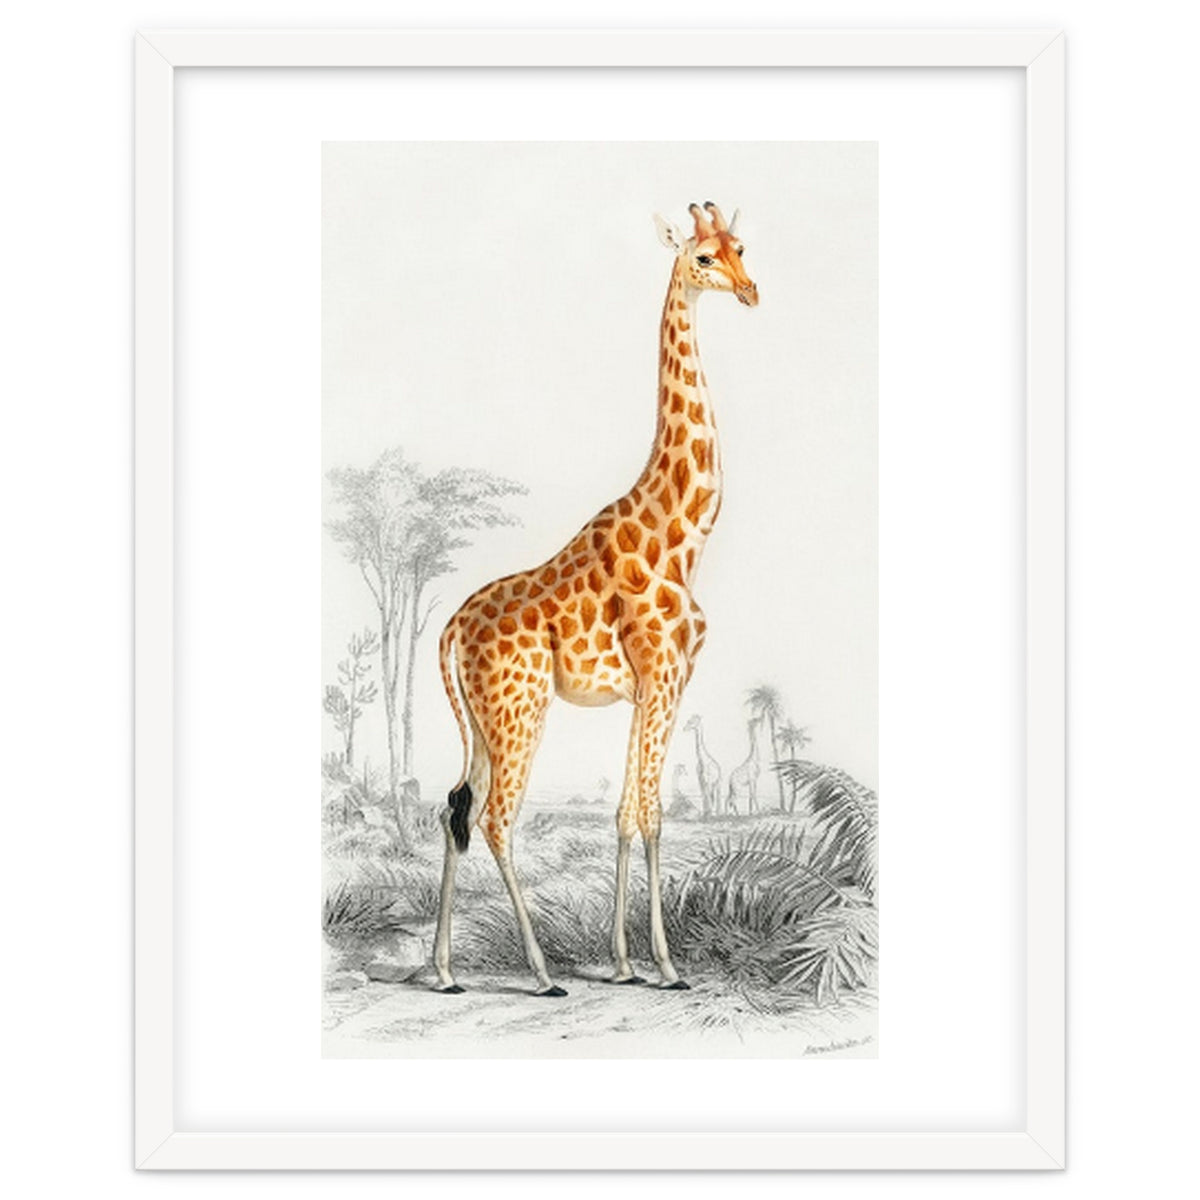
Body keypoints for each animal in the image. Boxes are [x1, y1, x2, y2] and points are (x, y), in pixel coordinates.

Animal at [432, 201, 758, 996]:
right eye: (702, 258)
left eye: (741, 247)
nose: (750, 291)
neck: (683, 535)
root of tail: (449, 630)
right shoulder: (664, 677)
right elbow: (652, 814)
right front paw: (666, 966)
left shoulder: (652, 687)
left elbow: (626, 812)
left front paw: (624, 962)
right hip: (520, 711)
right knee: (495, 819)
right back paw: (544, 973)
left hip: (484, 721)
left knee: (455, 807)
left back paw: (444, 971)